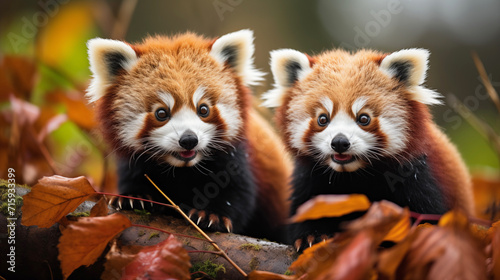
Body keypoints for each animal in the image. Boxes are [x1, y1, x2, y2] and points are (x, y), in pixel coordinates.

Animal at [84, 30, 292, 241]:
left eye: (203, 109)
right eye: (161, 113)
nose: (189, 140)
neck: (182, 170)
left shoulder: (238, 160)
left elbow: (239, 193)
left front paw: (212, 214)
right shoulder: (132, 162)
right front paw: (135, 197)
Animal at [264, 47, 474, 249]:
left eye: (363, 118)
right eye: (322, 119)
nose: (340, 142)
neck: (354, 176)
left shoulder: (416, 175)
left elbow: (427, 216)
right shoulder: (309, 178)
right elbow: (305, 208)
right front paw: (312, 236)